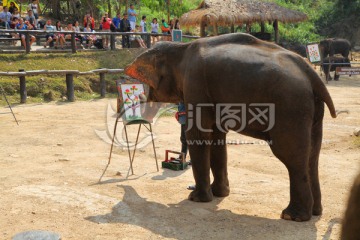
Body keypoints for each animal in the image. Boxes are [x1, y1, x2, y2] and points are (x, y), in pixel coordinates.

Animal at [124, 32, 338, 222]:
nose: (139, 96)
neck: (181, 48)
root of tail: (311, 72)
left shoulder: (195, 84)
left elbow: (200, 134)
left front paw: (197, 199)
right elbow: (217, 137)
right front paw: (219, 194)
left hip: (290, 107)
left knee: (291, 157)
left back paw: (293, 216)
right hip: (312, 109)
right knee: (312, 156)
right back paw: (315, 212)